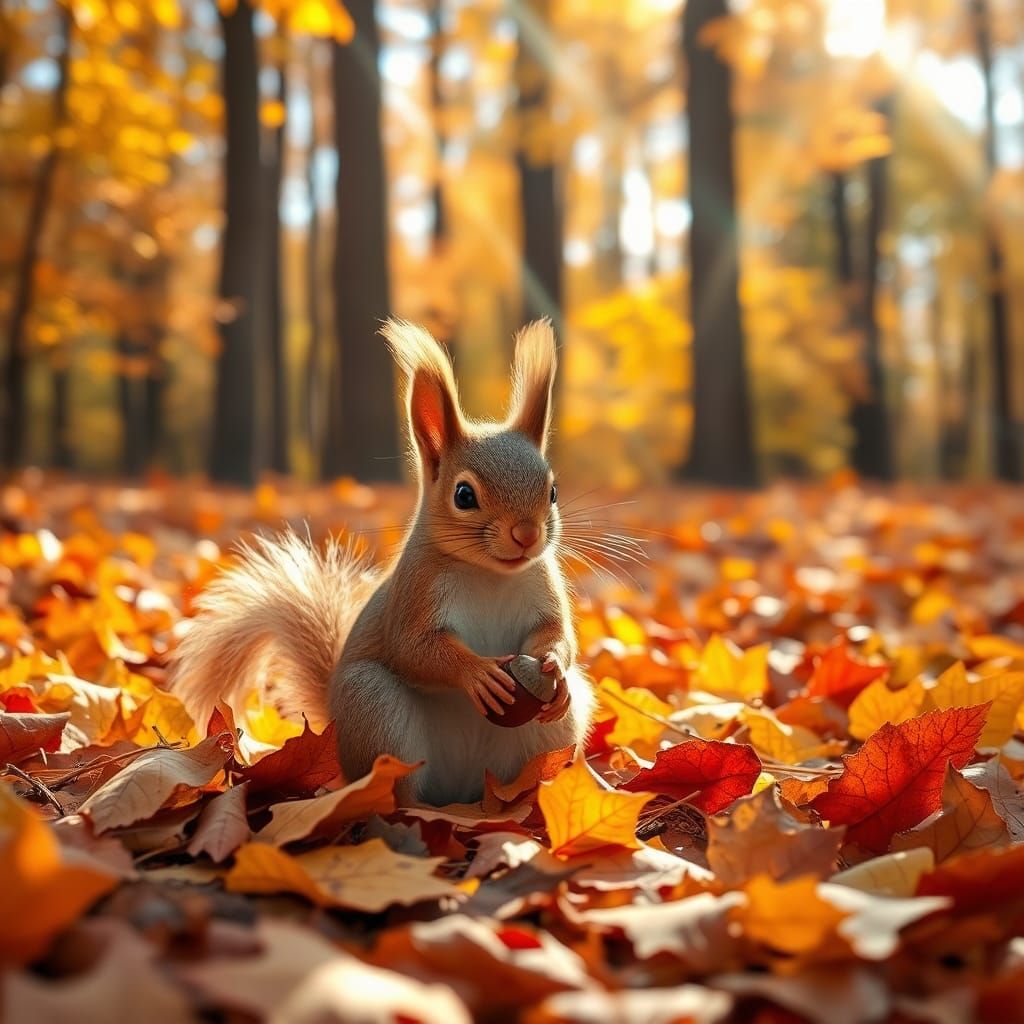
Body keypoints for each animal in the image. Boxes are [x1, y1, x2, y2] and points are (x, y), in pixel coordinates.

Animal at [171, 319, 595, 805]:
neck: (489, 574)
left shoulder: (544, 587)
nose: (527, 535)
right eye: (464, 495)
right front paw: (477, 673)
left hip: (548, 737)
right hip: (374, 704)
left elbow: (557, 633)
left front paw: (554, 666)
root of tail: (461, 792)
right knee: (393, 782)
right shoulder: (415, 593)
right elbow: (414, 649)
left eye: (553, 491)